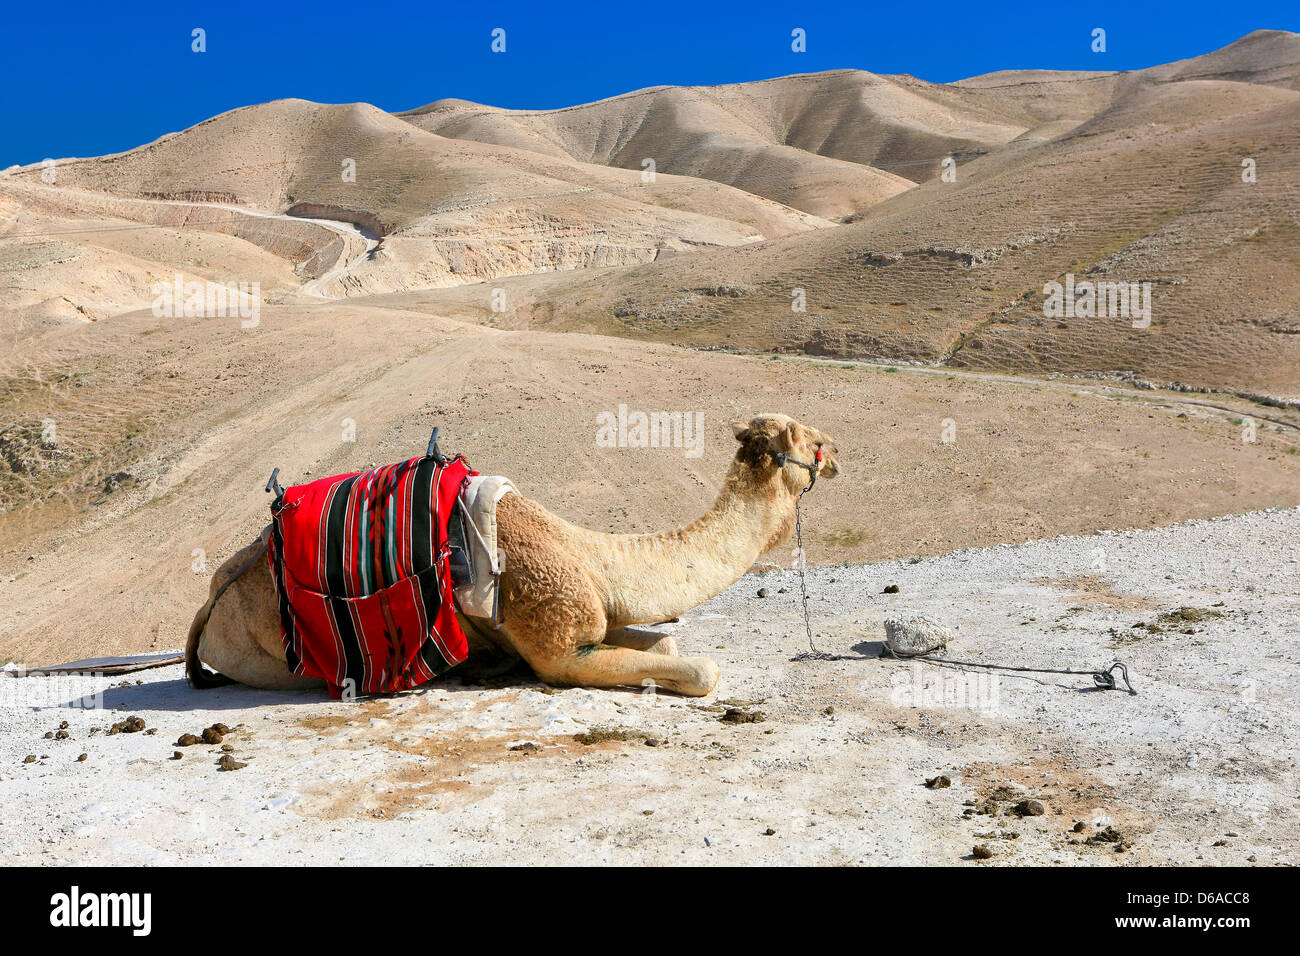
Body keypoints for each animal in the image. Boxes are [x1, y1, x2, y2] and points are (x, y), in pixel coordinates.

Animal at [188, 411, 842, 697]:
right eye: (813, 439)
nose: (840, 454)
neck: (591, 555)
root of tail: (210, 601)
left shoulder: (594, 616)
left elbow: (666, 643)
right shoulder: (561, 649)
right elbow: (701, 670)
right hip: (265, 658)